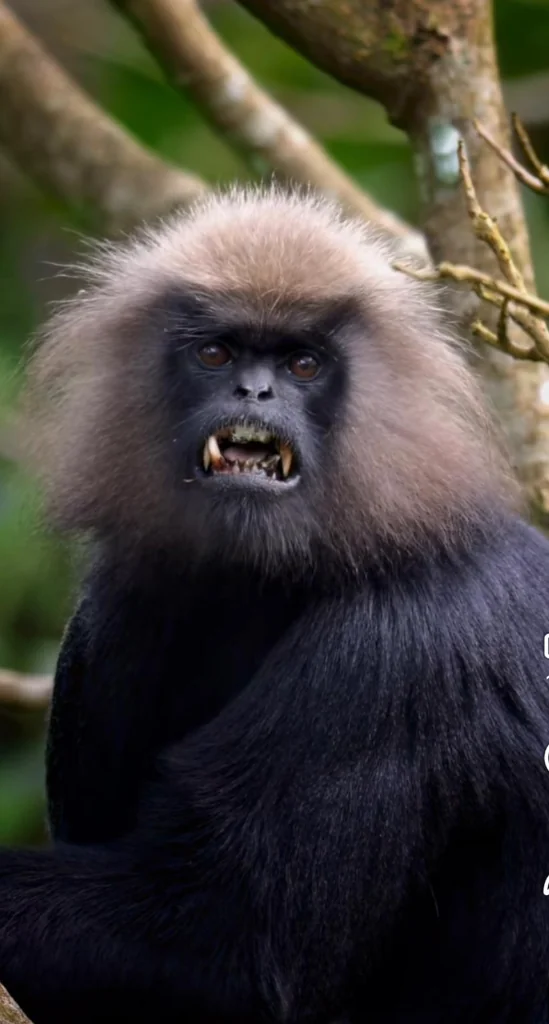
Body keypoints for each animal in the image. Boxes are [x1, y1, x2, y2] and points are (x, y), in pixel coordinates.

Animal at [0, 186, 548, 1024]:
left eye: (301, 364)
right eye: (216, 355)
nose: (254, 393)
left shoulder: (404, 650)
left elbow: (238, 947)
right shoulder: (120, 602)